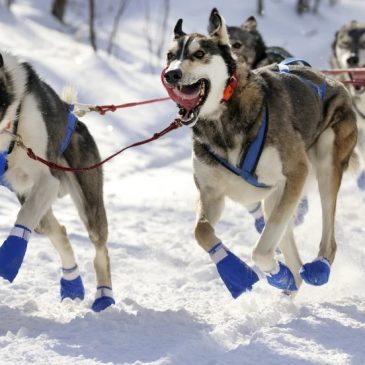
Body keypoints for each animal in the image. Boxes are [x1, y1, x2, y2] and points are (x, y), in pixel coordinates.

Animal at [0, 52, 114, 312]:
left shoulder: (47, 177)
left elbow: (24, 216)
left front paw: (9, 259)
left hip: (88, 203)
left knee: (100, 251)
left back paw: (104, 297)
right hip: (32, 202)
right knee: (59, 232)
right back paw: (72, 284)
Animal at [162, 8, 356, 298]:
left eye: (199, 53)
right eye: (170, 55)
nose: (171, 74)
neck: (222, 120)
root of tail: (333, 80)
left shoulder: (296, 171)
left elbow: (261, 250)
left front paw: (274, 274)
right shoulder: (211, 194)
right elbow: (202, 231)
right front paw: (236, 270)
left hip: (324, 165)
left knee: (328, 238)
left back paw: (318, 267)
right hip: (276, 197)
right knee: (291, 252)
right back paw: (290, 286)